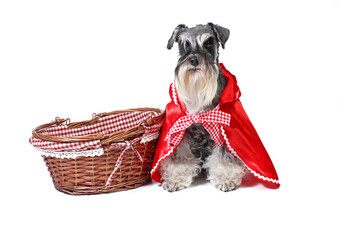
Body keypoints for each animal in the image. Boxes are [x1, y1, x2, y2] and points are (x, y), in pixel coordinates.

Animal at [158, 22, 248, 191]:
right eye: (184, 44)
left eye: (209, 42)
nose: (193, 60)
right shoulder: (181, 132)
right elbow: (180, 156)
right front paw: (176, 179)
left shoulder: (222, 132)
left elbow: (224, 155)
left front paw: (225, 178)